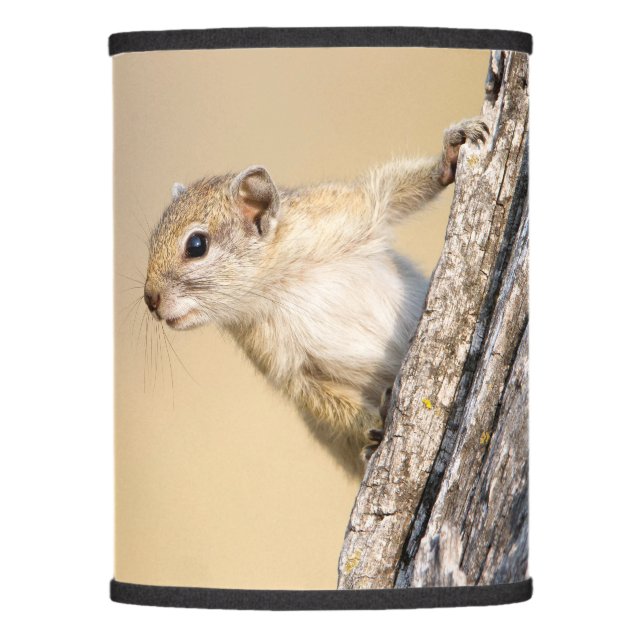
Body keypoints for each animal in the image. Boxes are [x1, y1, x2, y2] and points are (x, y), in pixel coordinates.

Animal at [144, 118, 488, 474]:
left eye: (196, 245)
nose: (150, 300)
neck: (280, 281)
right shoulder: (284, 364)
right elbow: (321, 399)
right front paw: (374, 427)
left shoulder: (345, 210)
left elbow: (389, 192)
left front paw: (451, 152)